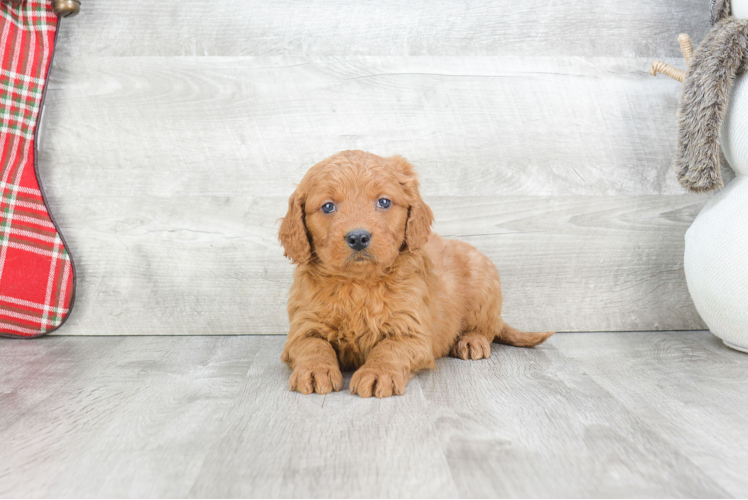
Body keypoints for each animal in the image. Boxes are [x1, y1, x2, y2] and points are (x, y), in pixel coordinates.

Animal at [278, 151, 552, 398]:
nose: (358, 238)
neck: (359, 283)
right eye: (327, 206)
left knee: (488, 328)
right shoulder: (303, 326)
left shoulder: (413, 331)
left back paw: (471, 341)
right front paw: (315, 370)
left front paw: (378, 373)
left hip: (484, 282)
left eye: (384, 202)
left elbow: (389, 348)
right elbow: (313, 345)